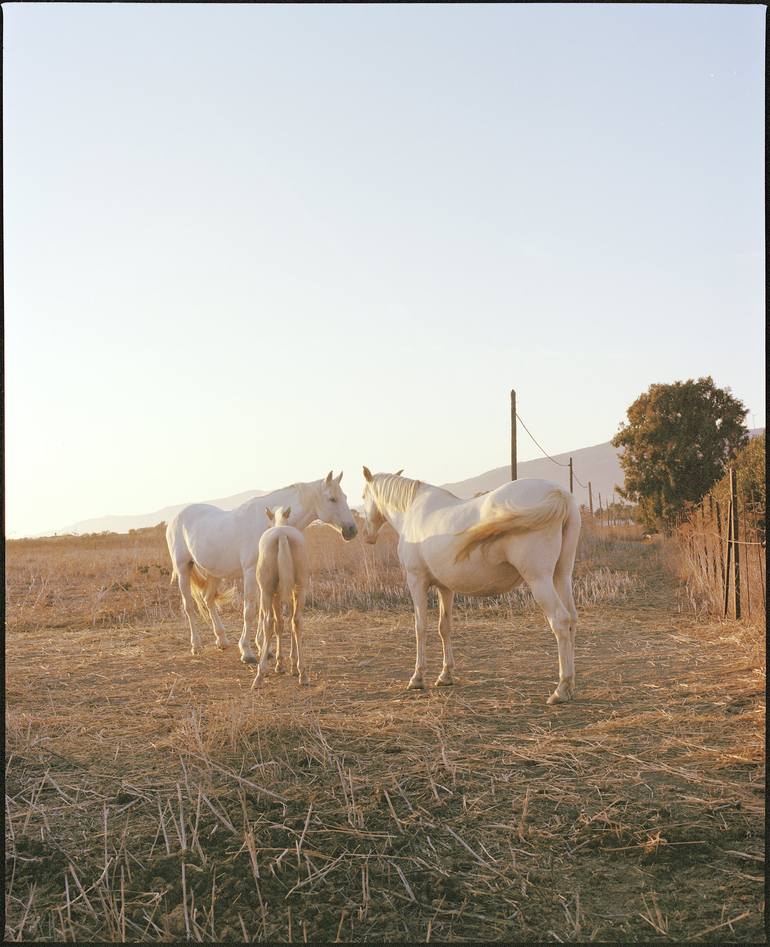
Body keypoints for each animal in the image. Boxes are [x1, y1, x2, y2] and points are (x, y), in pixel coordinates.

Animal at [166, 470, 356, 664]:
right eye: (332, 498)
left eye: (345, 497)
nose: (352, 530)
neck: (270, 525)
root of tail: (175, 518)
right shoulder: (250, 572)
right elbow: (250, 610)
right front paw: (247, 652)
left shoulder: (265, 576)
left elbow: (262, 611)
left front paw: (264, 648)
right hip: (183, 569)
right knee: (189, 606)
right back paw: (196, 646)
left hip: (215, 573)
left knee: (208, 599)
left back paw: (222, 640)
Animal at [250, 504, 308, 688]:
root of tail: (282, 534)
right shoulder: (290, 592)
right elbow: (288, 623)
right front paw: (292, 665)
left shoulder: (274, 594)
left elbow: (278, 625)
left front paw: (279, 664)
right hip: (300, 588)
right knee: (297, 621)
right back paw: (303, 674)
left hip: (267, 592)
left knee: (269, 622)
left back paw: (260, 675)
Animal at [358, 470, 576, 708]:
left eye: (363, 496)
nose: (365, 534)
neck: (412, 512)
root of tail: (559, 493)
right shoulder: (445, 588)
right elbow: (444, 628)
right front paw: (445, 676)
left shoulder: (416, 581)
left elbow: (420, 628)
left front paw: (417, 678)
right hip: (561, 575)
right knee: (572, 619)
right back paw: (571, 687)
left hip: (539, 580)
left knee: (560, 620)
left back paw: (561, 689)